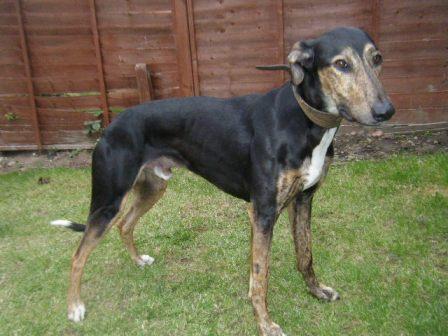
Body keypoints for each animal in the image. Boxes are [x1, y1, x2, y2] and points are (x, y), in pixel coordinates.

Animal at [52, 26, 394, 336]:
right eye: (341, 64)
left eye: (377, 58)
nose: (386, 111)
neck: (303, 121)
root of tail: (111, 126)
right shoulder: (262, 212)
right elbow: (261, 276)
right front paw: (265, 324)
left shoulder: (303, 201)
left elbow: (304, 255)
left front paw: (316, 291)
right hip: (109, 200)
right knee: (78, 255)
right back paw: (74, 307)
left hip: (153, 187)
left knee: (125, 224)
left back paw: (138, 261)